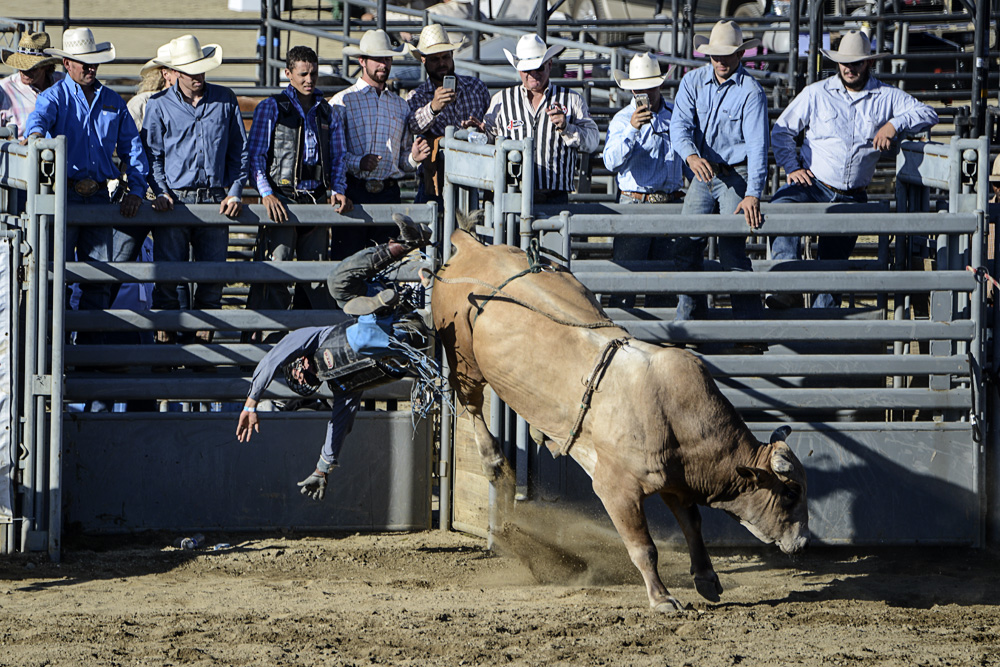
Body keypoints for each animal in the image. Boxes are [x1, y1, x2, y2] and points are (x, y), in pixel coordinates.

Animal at [434, 223, 808, 612]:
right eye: (790, 492)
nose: (802, 543)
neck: (671, 412)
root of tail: (472, 246)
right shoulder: (617, 490)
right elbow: (644, 547)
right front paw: (662, 598)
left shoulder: (676, 481)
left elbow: (693, 526)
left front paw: (706, 579)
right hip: (464, 359)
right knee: (471, 405)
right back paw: (493, 460)